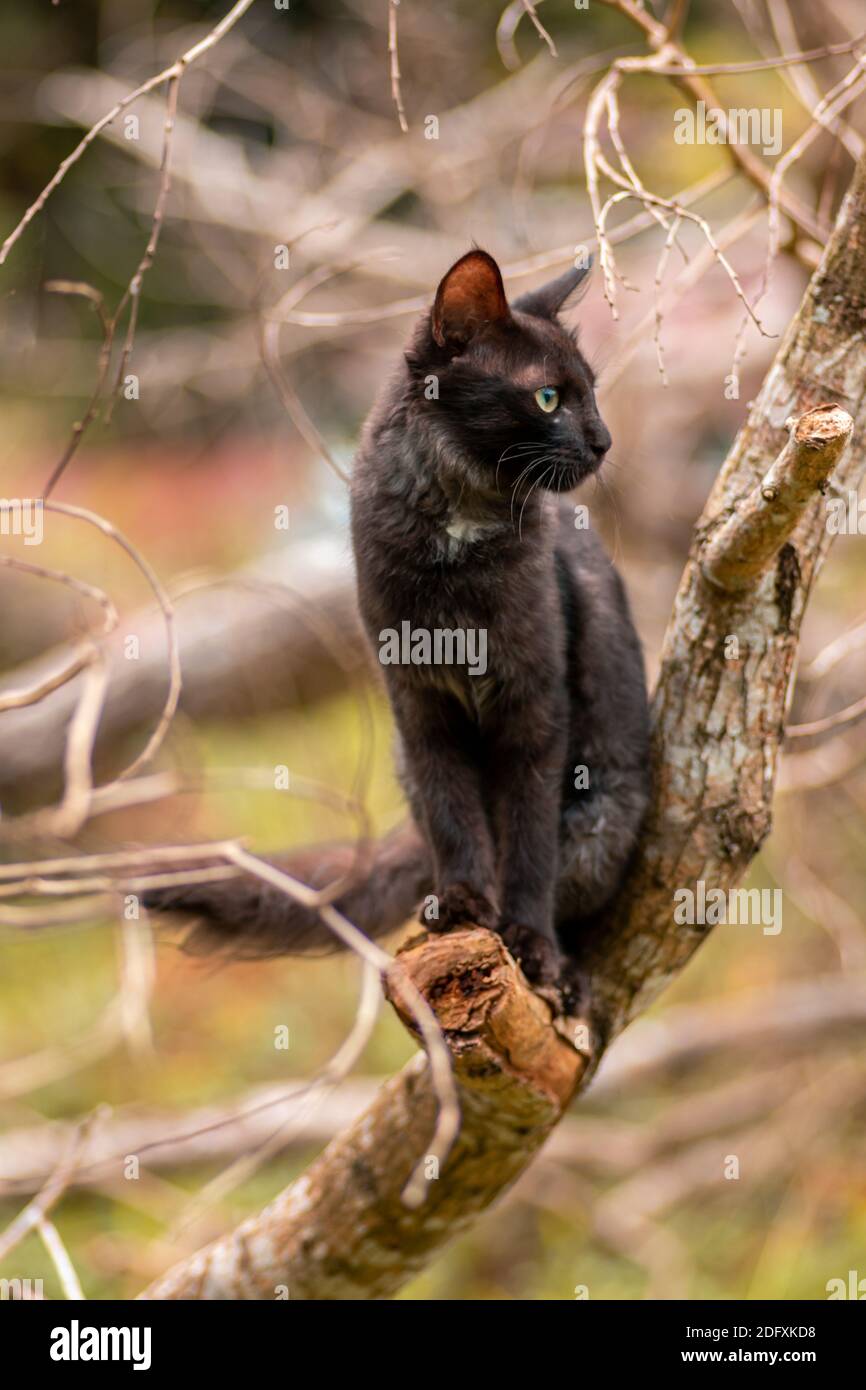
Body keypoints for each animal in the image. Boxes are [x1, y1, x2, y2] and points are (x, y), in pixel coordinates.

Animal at [147, 250, 650, 1011]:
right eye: (548, 399)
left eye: (590, 392)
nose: (604, 441)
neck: (457, 535)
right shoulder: (419, 704)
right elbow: (455, 816)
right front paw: (464, 902)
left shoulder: (535, 706)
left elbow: (529, 843)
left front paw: (530, 945)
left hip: (601, 813)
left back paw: (565, 974)